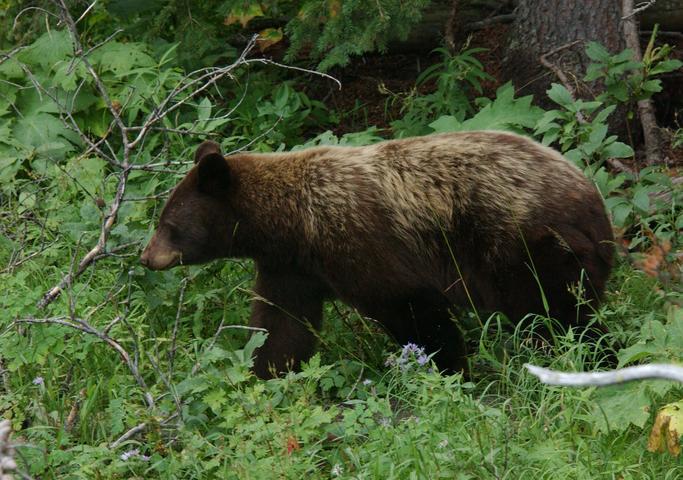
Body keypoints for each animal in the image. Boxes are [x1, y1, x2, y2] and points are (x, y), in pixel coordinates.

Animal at [140, 131, 616, 378]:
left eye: (169, 225)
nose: (146, 257)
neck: (291, 225)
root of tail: (592, 197)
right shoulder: (290, 268)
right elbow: (281, 325)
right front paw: (267, 374)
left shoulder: (361, 244)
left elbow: (413, 310)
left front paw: (448, 370)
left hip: (523, 246)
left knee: (556, 312)